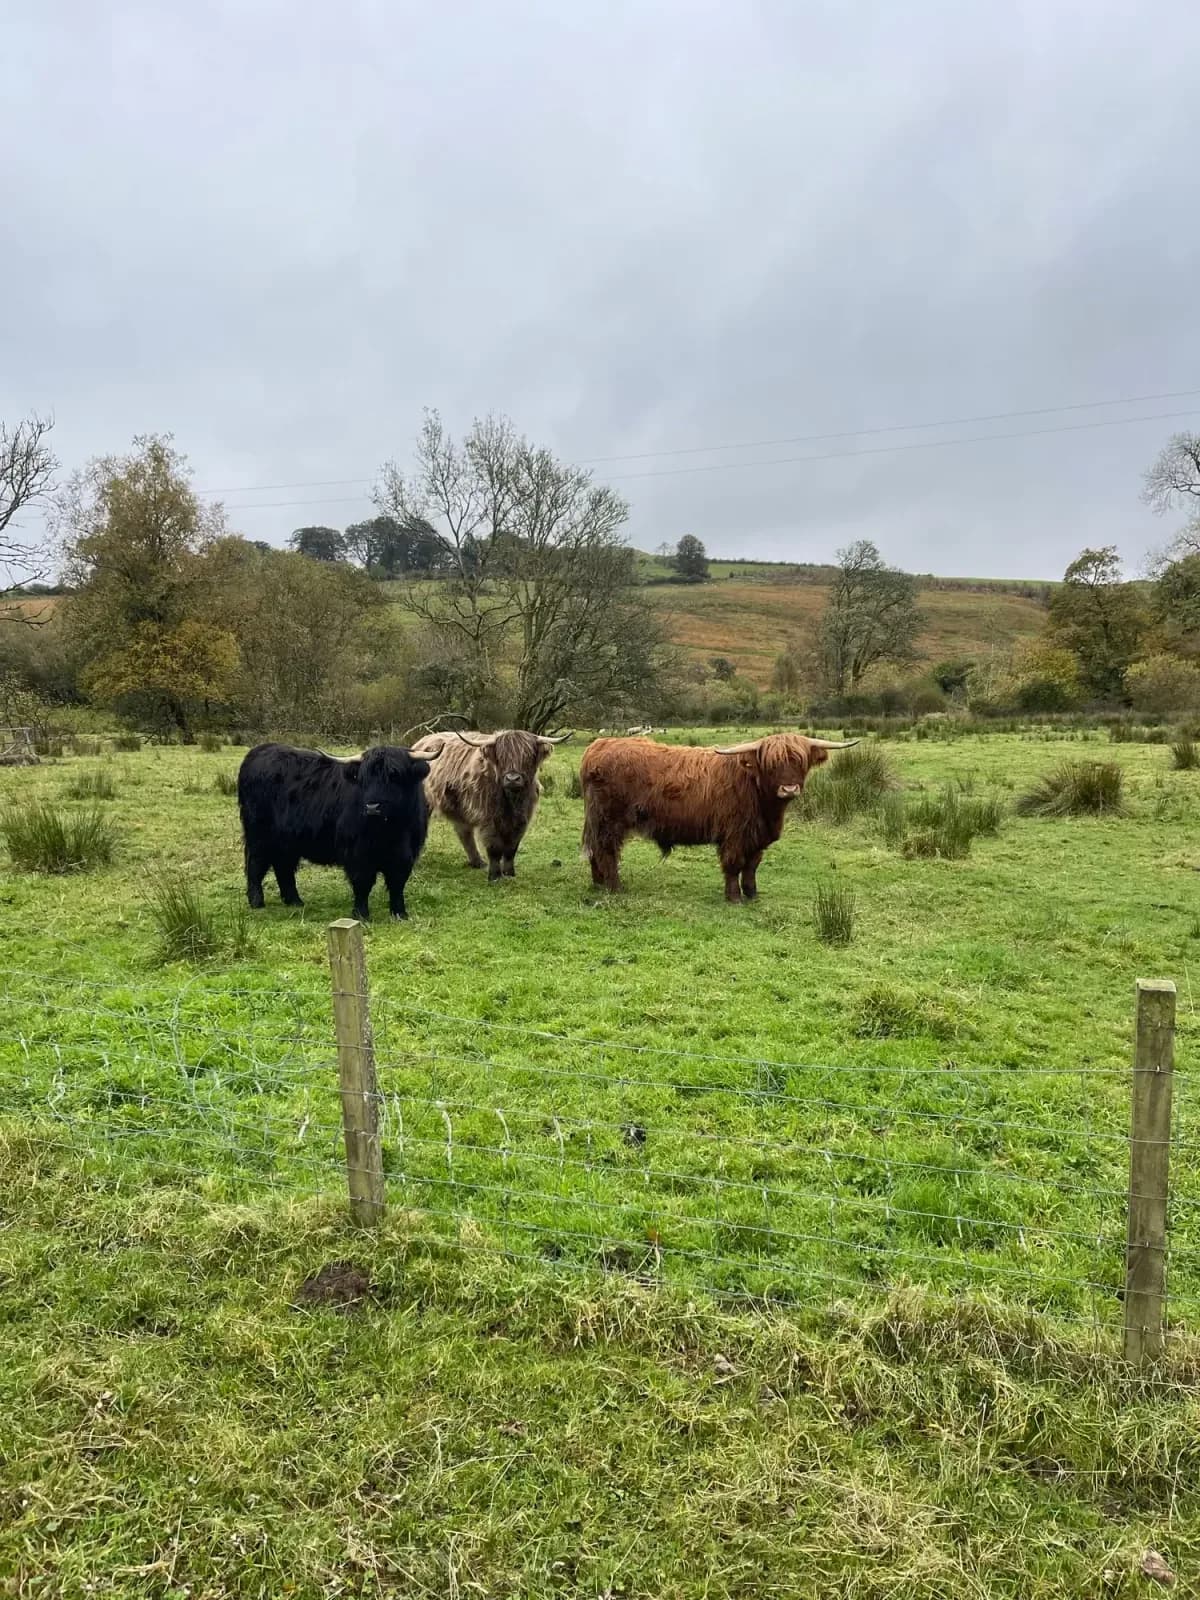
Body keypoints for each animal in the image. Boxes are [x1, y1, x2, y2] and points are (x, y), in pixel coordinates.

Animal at [237, 741, 441, 920]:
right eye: (363, 779)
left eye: (395, 775)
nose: (372, 807)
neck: (391, 831)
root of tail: (260, 750)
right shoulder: (357, 852)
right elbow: (362, 882)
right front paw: (361, 914)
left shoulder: (406, 854)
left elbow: (397, 883)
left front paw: (400, 914)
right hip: (259, 834)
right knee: (255, 864)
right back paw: (257, 902)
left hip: (287, 840)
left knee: (283, 866)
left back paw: (294, 901)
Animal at [411, 728, 572, 880]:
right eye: (501, 757)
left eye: (527, 756)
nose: (512, 779)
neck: (511, 800)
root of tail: (422, 741)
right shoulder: (488, 818)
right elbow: (494, 847)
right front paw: (495, 875)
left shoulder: (523, 819)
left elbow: (512, 848)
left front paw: (509, 873)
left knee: (464, 831)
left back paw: (477, 862)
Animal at [580, 733, 857, 903]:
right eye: (771, 764)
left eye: (800, 761)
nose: (789, 789)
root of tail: (597, 746)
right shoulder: (734, 834)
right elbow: (734, 864)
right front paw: (734, 897)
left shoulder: (756, 837)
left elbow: (752, 866)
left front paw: (752, 894)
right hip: (609, 820)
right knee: (606, 850)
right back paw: (614, 887)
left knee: (595, 849)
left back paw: (598, 883)